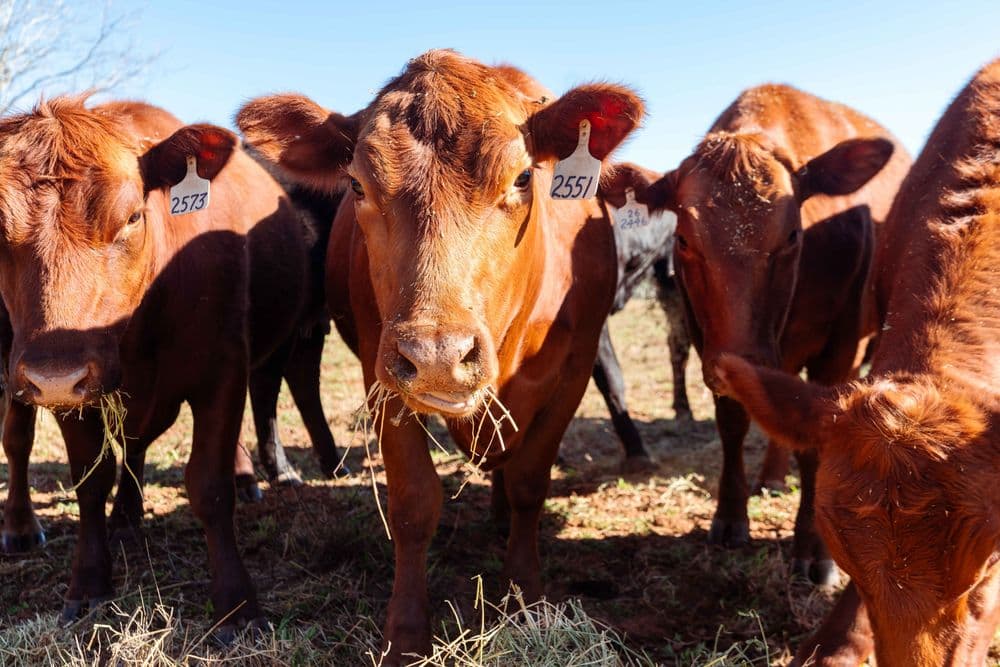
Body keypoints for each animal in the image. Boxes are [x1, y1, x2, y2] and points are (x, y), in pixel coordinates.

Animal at [0, 96, 318, 636]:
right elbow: (91, 482)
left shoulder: (223, 368)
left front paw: (237, 604)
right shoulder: (67, 392)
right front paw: (89, 584)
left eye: (132, 217)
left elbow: (209, 485)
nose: (55, 373)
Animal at [237, 49, 644, 662]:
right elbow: (413, 502)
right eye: (356, 184)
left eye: (524, 177)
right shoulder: (382, 374)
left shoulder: (574, 369)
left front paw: (525, 603)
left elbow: (529, 483)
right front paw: (406, 634)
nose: (436, 355)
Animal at [610, 84, 911, 585]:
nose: (744, 357)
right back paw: (771, 475)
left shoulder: (842, 350)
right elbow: (734, 423)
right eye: (684, 240)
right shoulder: (707, 340)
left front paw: (815, 549)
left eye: (792, 236)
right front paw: (731, 518)